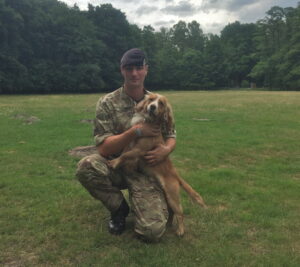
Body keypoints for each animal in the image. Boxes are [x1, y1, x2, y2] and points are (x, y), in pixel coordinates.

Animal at [108, 94, 206, 237]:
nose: (152, 107)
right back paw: (169, 224)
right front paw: (117, 161)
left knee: (180, 213)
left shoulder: (140, 150)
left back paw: (180, 231)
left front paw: (114, 162)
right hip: (167, 197)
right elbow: (124, 152)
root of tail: (176, 175)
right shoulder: (130, 143)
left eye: (161, 103)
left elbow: (126, 155)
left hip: (172, 195)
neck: (147, 122)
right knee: (171, 211)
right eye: (151, 99)